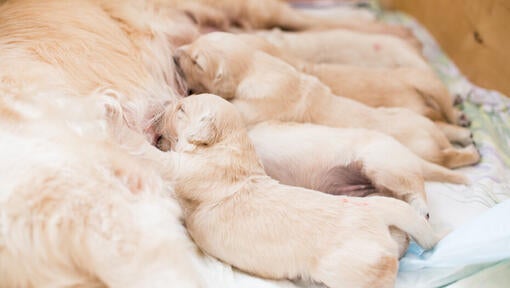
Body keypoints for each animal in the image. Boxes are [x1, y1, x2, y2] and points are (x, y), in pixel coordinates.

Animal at [154, 94, 438, 288]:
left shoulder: (186, 168)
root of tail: (378, 213)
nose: (163, 105)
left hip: (358, 259)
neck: (231, 145)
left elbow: (160, 159)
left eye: (181, 108)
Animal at [173, 32, 480, 169]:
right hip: (419, 117)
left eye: (197, 62)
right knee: (445, 126)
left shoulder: (254, 106)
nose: (174, 54)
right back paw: (464, 130)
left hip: (427, 149)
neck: (257, 65)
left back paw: (471, 153)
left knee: (449, 156)